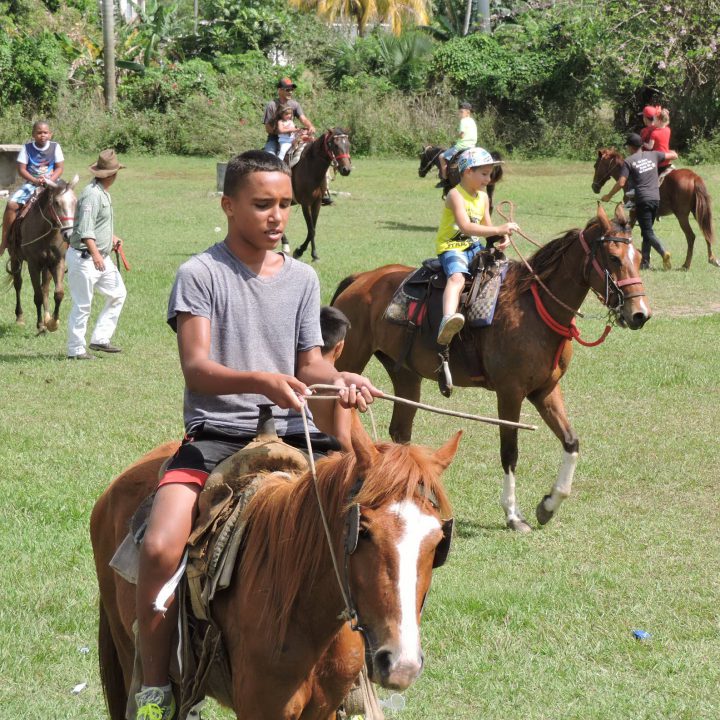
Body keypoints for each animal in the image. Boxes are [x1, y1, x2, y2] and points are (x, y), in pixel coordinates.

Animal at [6, 176, 78, 334]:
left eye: (75, 202)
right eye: (56, 202)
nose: (69, 234)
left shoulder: (58, 262)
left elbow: (58, 293)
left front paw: (52, 323)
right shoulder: (33, 265)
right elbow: (37, 295)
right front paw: (40, 325)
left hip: (46, 266)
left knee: (45, 287)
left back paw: (46, 318)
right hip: (15, 259)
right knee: (18, 284)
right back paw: (20, 317)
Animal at [288, 128, 352, 262]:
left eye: (348, 144)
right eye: (335, 145)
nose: (346, 170)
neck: (311, 168)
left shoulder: (316, 203)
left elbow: (313, 229)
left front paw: (313, 254)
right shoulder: (306, 204)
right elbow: (311, 229)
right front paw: (300, 251)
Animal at [334, 205, 648, 532]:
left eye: (639, 257)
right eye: (613, 257)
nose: (640, 314)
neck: (534, 308)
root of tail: (361, 278)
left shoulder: (546, 390)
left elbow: (571, 442)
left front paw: (548, 505)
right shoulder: (510, 393)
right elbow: (510, 452)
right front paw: (513, 514)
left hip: (405, 375)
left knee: (400, 430)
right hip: (348, 362)